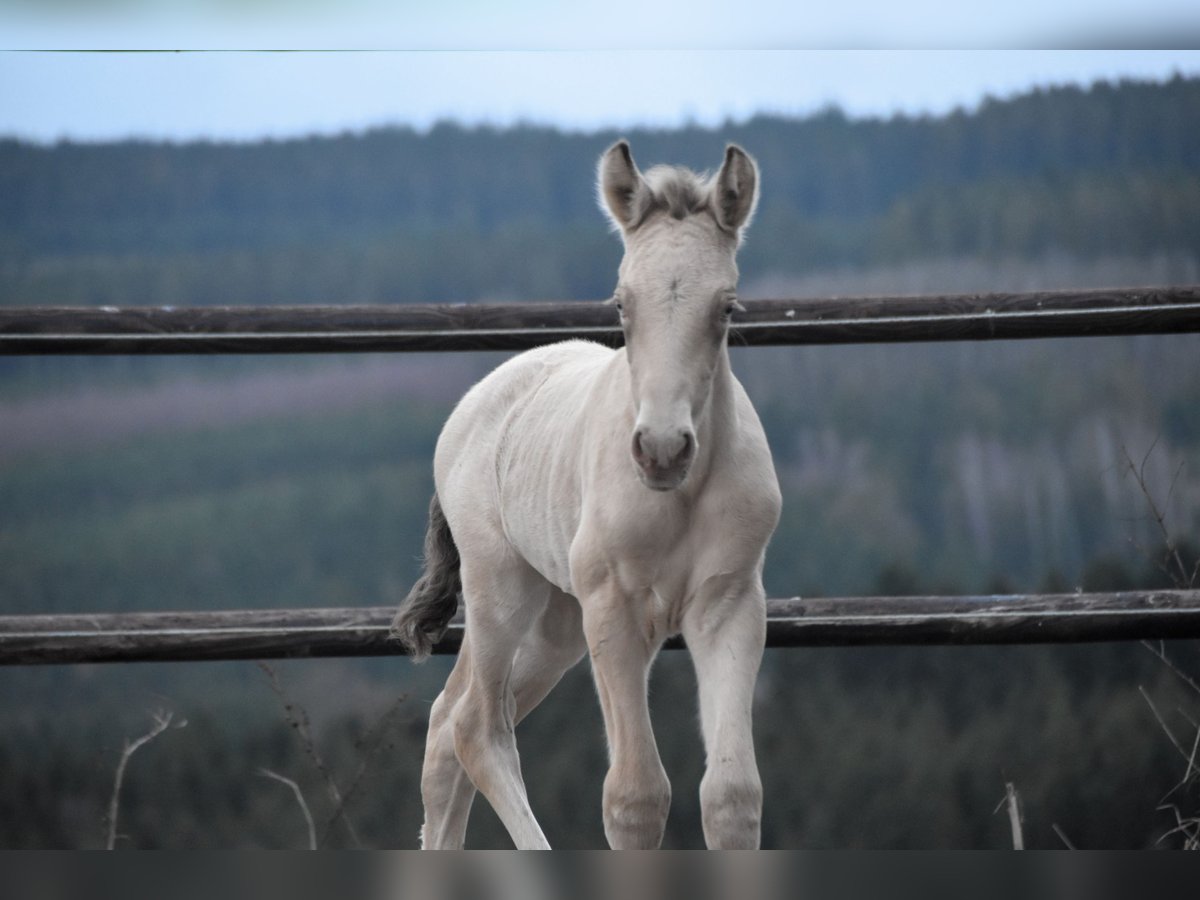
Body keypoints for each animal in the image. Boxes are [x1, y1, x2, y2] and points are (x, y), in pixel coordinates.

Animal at [398, 142, 782, 854]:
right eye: (622, 304)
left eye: (728, 308)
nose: (662, 449)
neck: (676, 498)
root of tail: (472, 405)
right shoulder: (616, 609)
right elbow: (634, 796)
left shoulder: (730, 604)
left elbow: (732, 794)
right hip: (500, 592)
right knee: (477, 727)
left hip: (557, 621)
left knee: (446, 723)